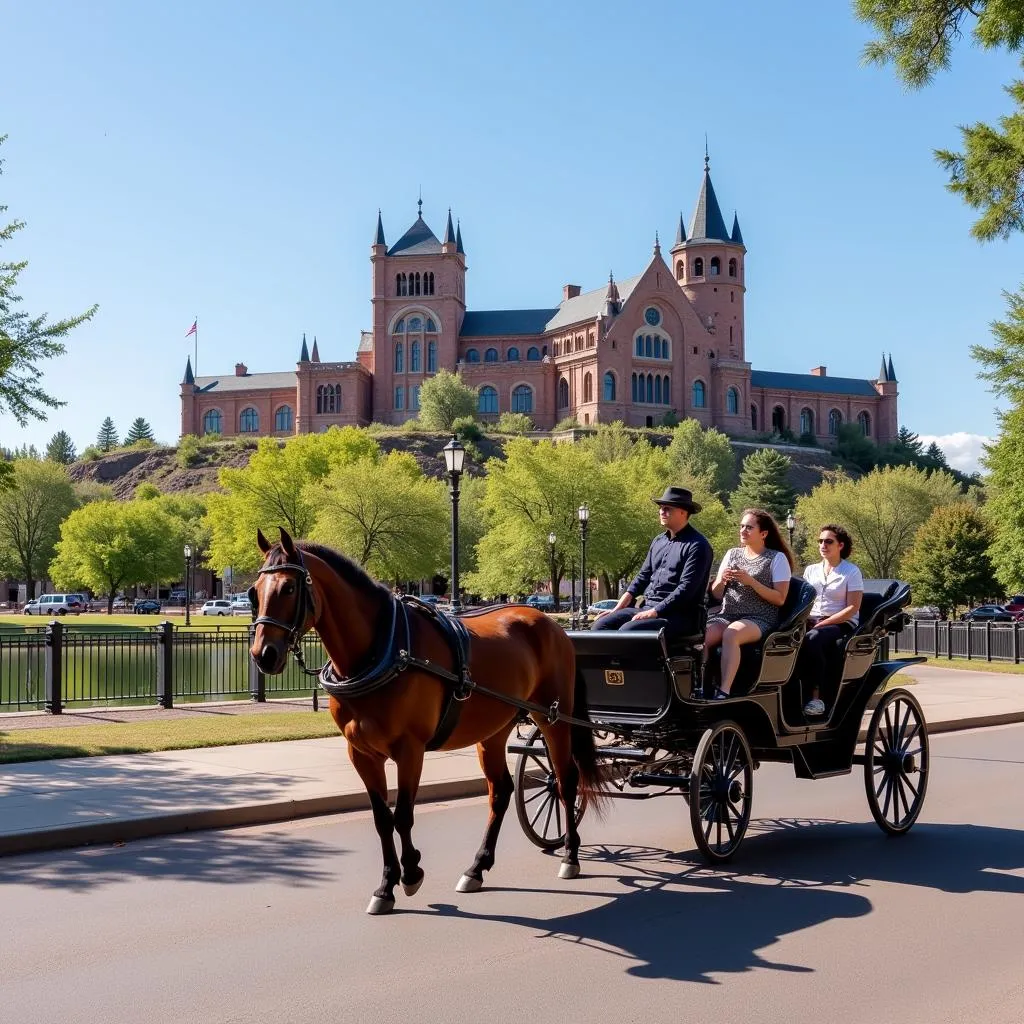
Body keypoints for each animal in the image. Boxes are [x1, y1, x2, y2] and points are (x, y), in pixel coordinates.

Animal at [246, 532, 602, 917]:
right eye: (254, 591)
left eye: (289, 588)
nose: (263, 654)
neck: (382, 651)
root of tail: (553, 625)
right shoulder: (361, 753)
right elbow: (381, 818)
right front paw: (386, 885)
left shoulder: (409, 750)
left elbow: (403, 815)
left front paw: (411, 872)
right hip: (494, 729)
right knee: (502, 791)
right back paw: (477, 867)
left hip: (553, 719)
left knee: (565, 781)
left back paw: (570, 855)